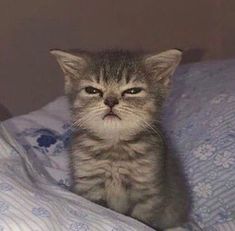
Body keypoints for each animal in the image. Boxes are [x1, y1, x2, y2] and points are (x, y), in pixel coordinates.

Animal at [51, 48, 189, 229]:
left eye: (132, 91)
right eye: (92, 90)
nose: (110, 101)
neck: (114, 146)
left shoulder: (147, 190)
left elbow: (141, 220)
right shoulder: (89, 182)